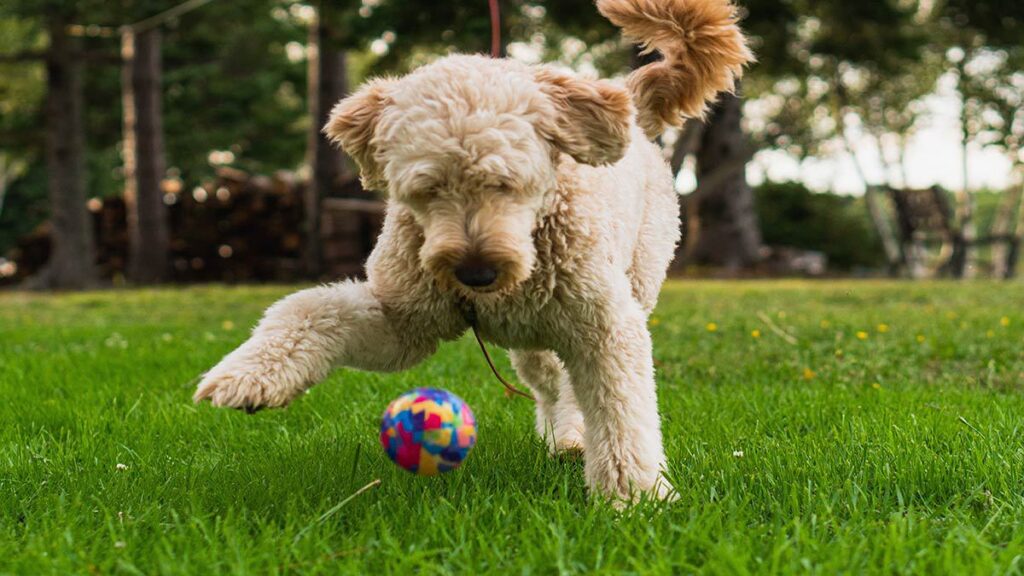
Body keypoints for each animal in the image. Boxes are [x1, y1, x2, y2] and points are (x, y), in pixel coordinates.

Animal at [193, 0, 753, 502]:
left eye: (506, 182)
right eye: (426, 189)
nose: (476, 273)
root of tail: (631, 106)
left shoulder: (607, 326)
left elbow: (621, 414)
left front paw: (635, 499)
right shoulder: (403, 321)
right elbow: (311, 309)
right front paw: (248, 377)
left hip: (632, 280)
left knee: (577, 384)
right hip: (533, 341)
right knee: (552, 384)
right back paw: (565, 435)